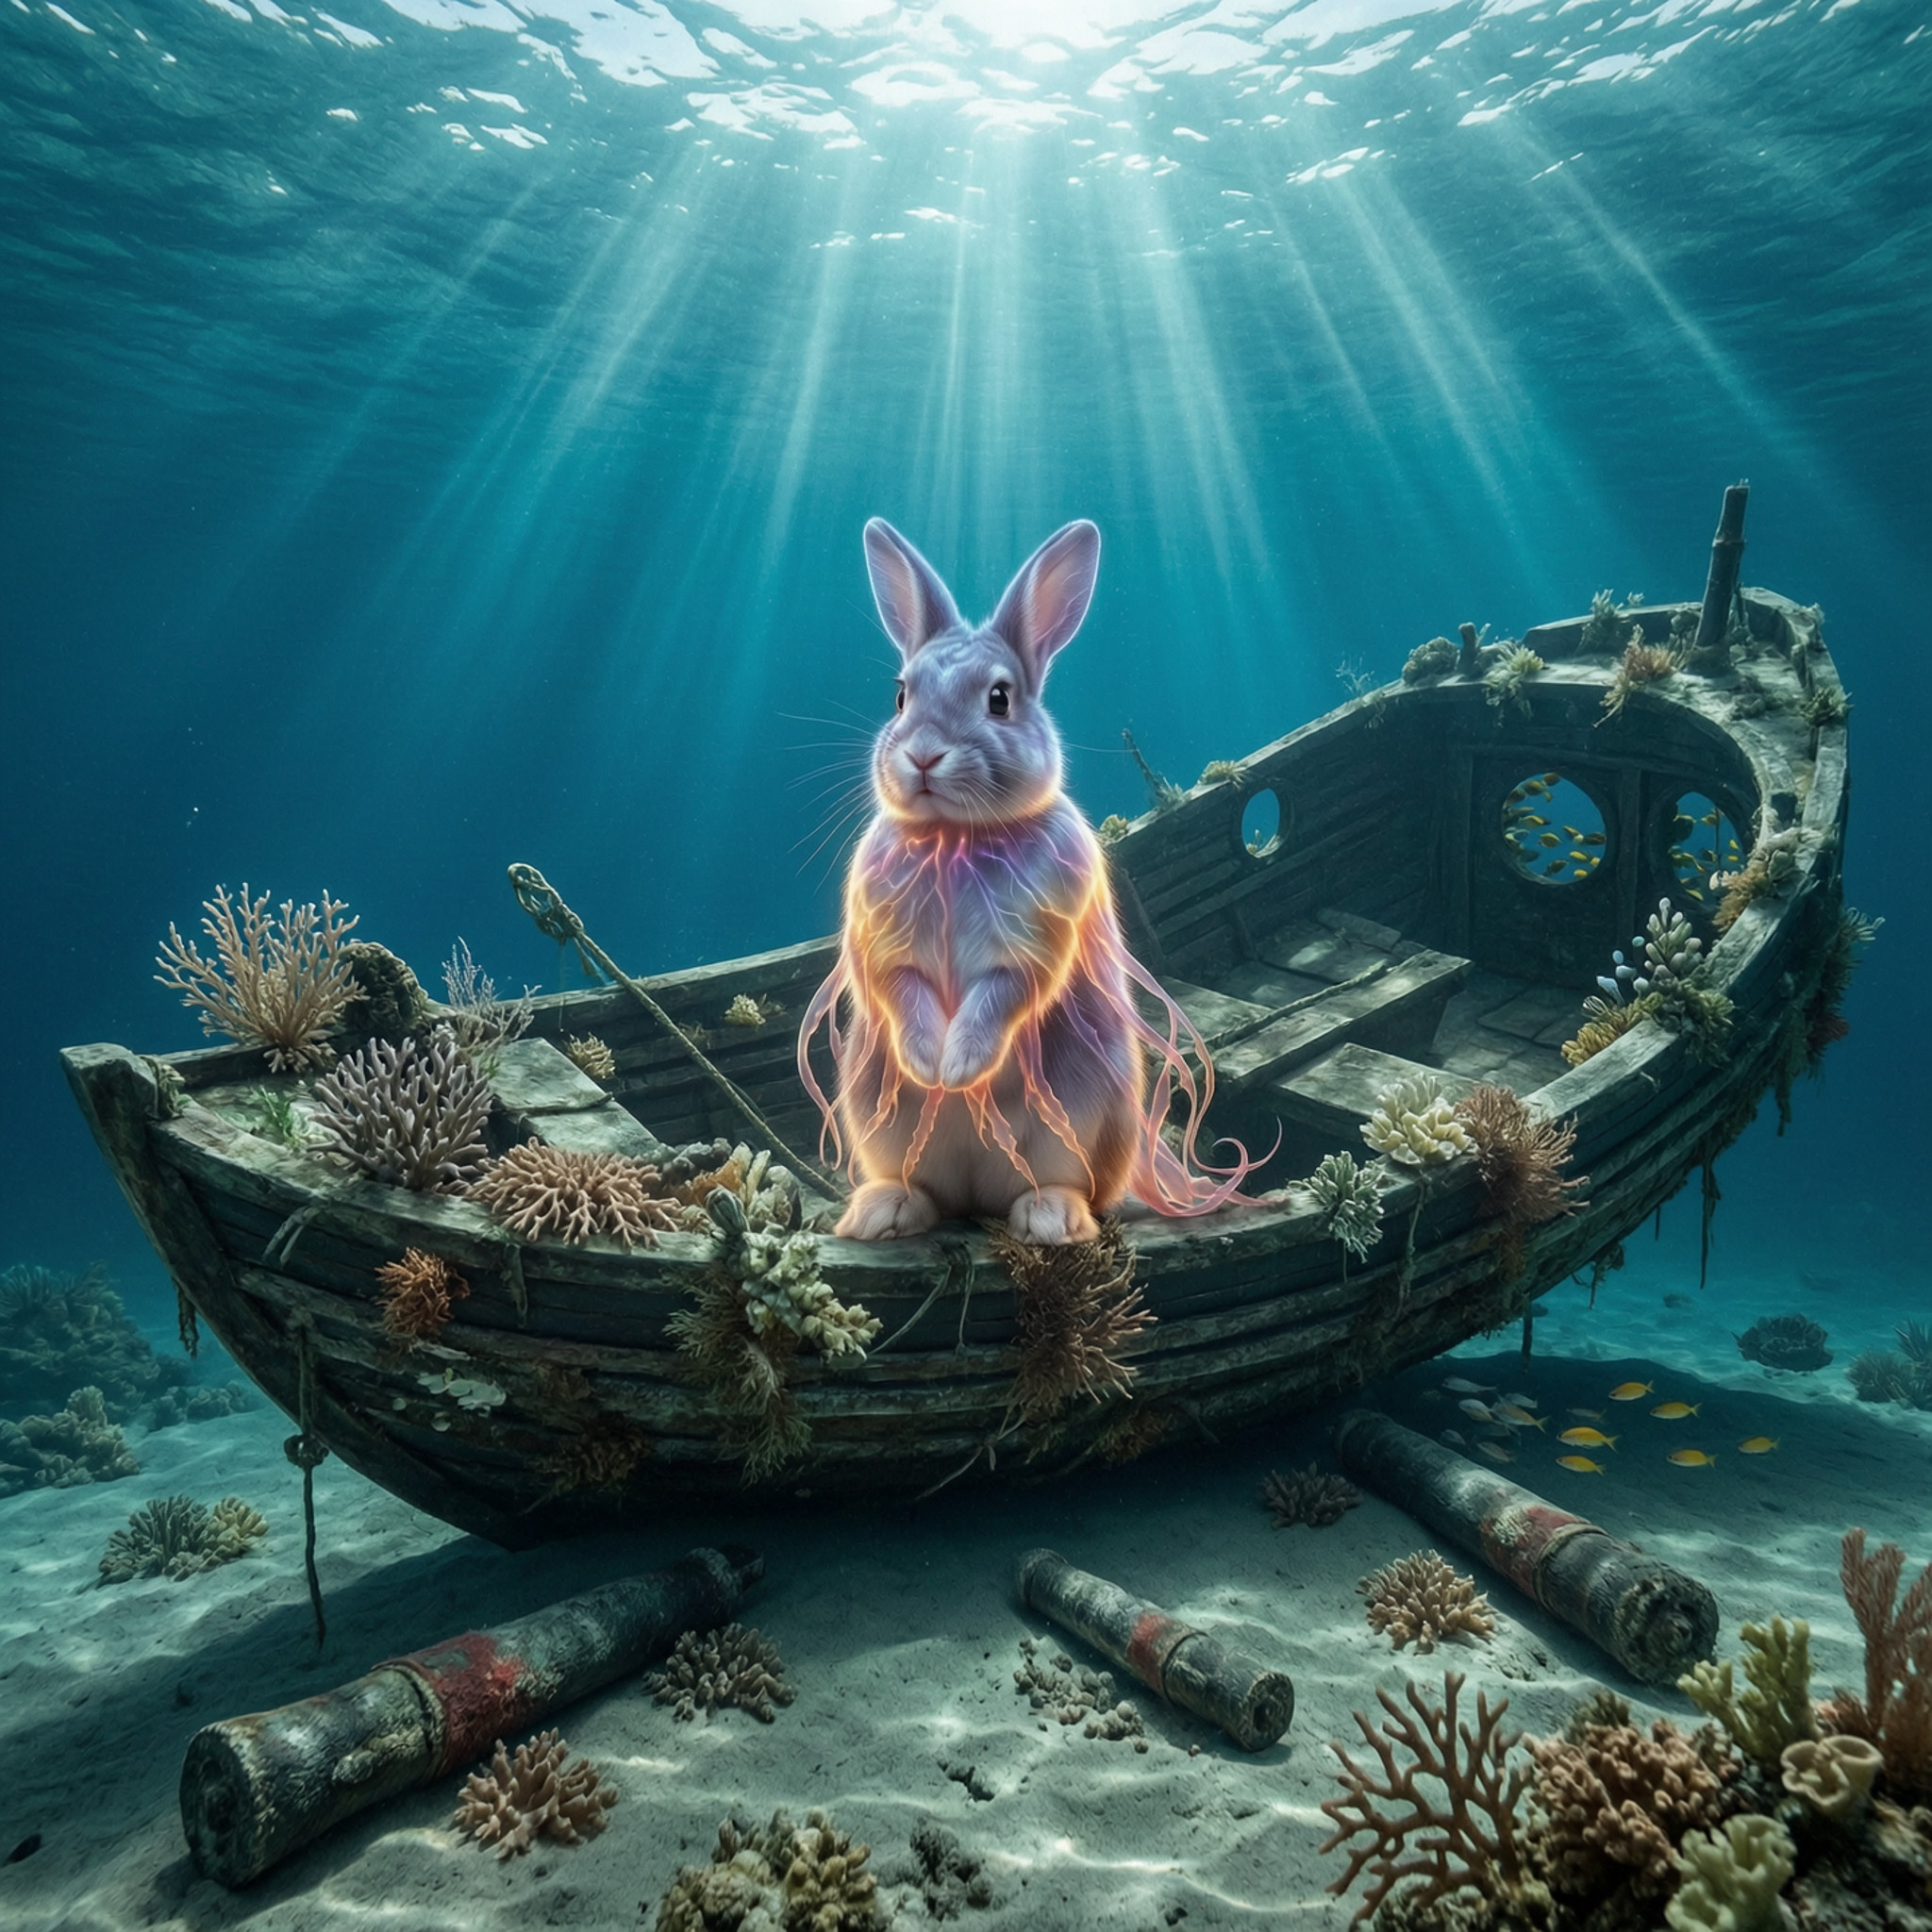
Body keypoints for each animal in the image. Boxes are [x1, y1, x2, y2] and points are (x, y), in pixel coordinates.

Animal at [798, 517, 1256, 1245]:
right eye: (900, 695)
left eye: (999, 699)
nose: (922, 755)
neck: (956, 839)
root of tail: (975, 1196)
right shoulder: (886, 946)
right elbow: (905, 989)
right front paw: (929, 1065)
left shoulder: (1034, 942)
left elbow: (1001, 994)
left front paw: (957, 1067)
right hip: (878, 1122)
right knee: (926, 1192)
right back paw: (881, 1214)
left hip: (1082, 1122)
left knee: (1061, 1186)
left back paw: (1051, 1220)